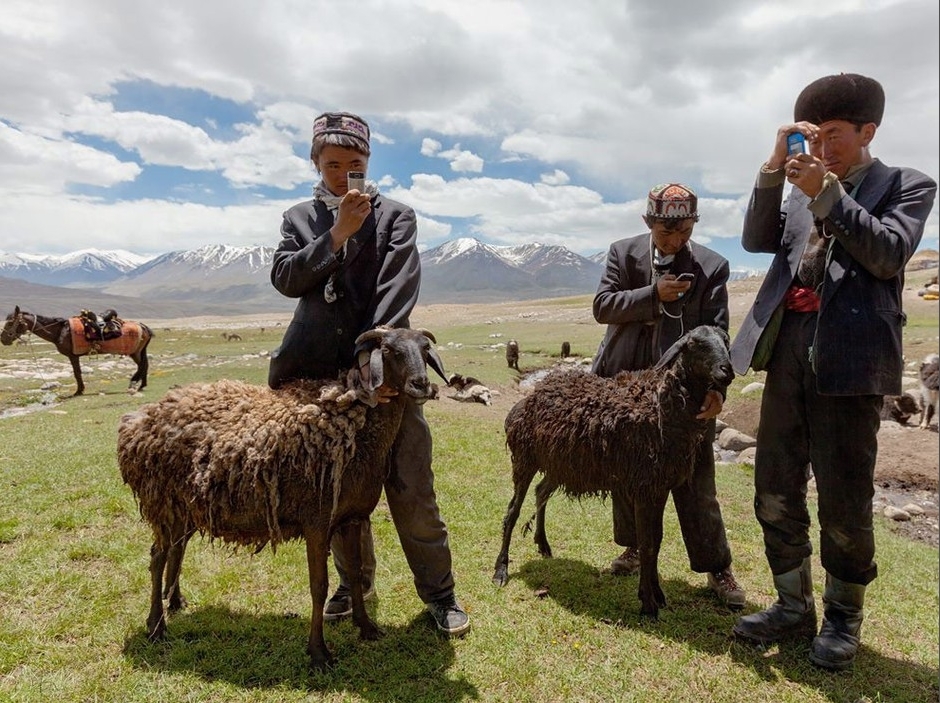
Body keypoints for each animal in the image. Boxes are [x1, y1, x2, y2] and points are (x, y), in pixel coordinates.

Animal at [1, 306, 152, 396]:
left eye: (10, 322)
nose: (3, 339)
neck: (60, 331)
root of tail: (143, 325)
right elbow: (77, 373)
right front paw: (80, 390)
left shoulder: (73, 356)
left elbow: (77, 373)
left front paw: (79, 391)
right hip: (138, 352)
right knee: (144, 365)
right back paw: (142, 385)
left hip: (134, 352)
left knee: (142, 365)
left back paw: (134, 382)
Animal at [115, 328, 446, 672]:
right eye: (391, 350)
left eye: (425, 349)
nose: (421, 384)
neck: (356, 427)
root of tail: (135, 421)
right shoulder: (317, 522)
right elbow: (318, 586)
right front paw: (319, 652)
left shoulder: (353, 517)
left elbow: (356, 575)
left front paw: (366, 627)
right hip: (163, 502)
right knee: (157, 557)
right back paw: (156, 626)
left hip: (187, 507)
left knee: (176, 551)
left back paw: (176, 601)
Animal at [492, 328, 736, 620]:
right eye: (695, 344)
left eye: (726, 340)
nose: (727, 371)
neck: (661, 405)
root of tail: (525, 400)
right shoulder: (645, 487)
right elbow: (647, 543)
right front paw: (648, 604)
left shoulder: (660, 487)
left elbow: (657, 540)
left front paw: (657, 594)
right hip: (524, 460)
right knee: (512, 511)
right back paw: (501, 571)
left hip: (561, 464)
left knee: (541, 493)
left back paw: (543, 545)